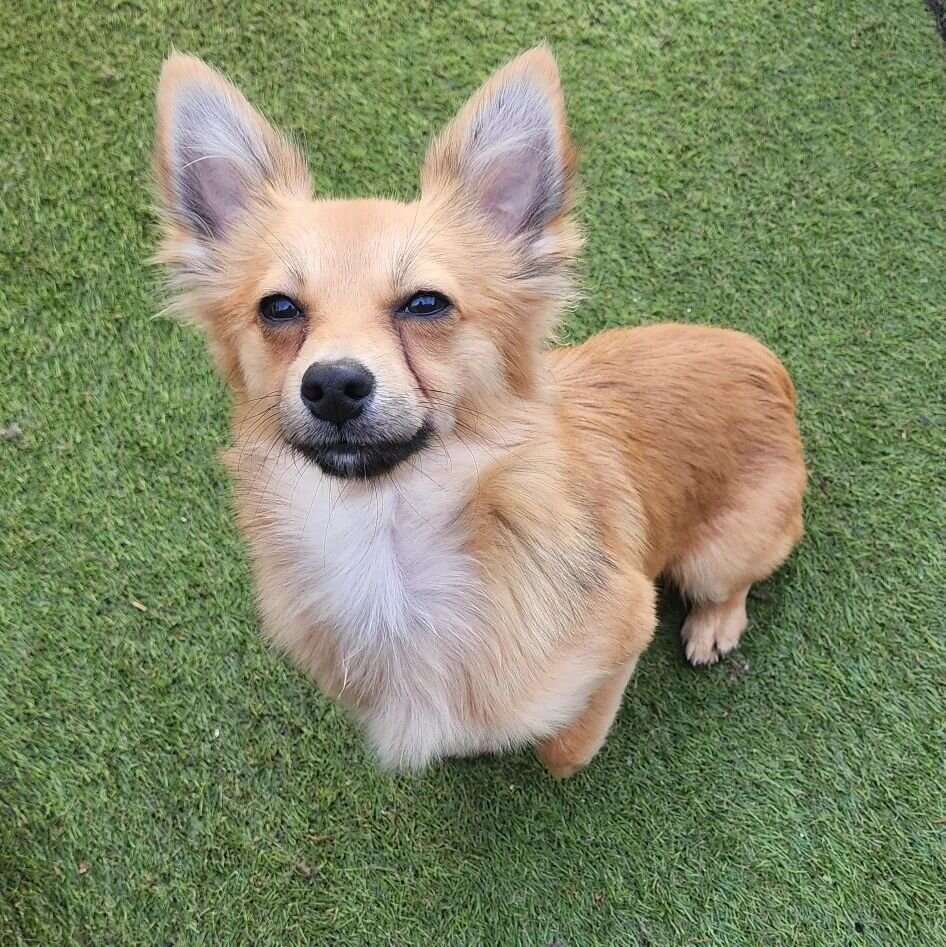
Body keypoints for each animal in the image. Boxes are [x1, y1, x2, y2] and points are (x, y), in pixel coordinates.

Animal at [153, 42, 804, 776]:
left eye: (425, 303)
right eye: (279, 309)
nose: (334, 384)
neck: (387, 538)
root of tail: (765, 363)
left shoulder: (626, 623)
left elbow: (567, 742)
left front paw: (547, 749)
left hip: (719, 553)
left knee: (732, 583)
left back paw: (714, 624)